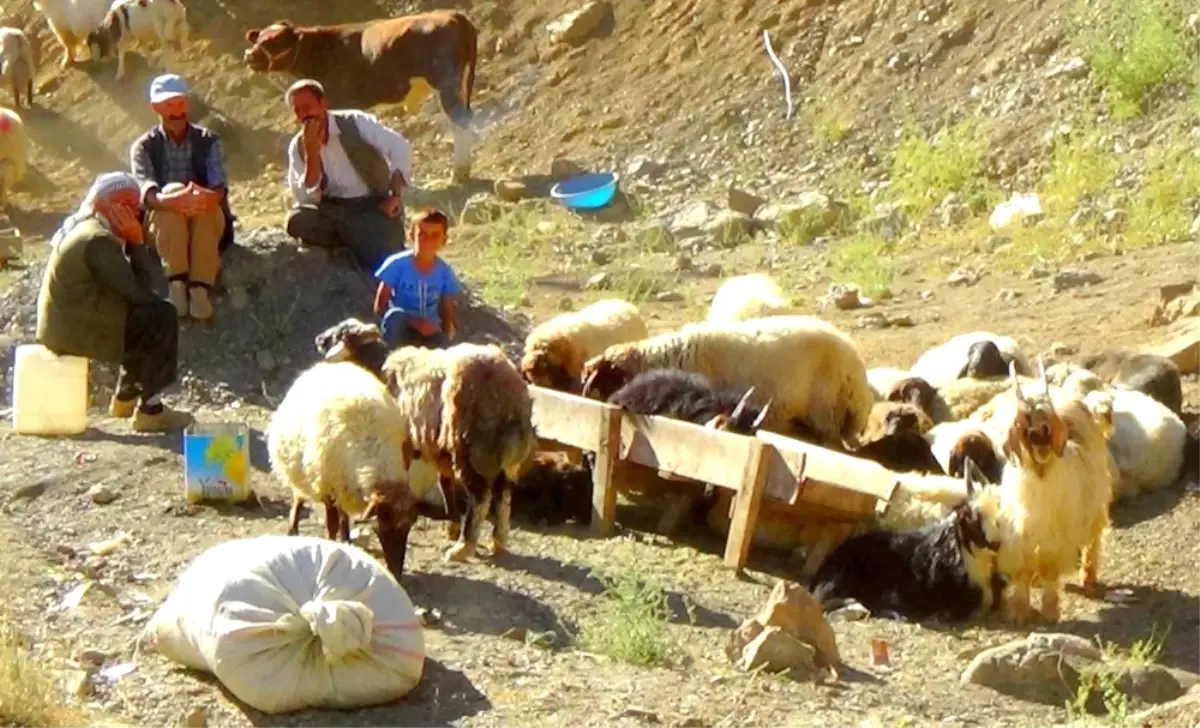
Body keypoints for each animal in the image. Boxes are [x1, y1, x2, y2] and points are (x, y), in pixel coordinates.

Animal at [241, 11, 480, 184]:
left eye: (274, 41)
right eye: (258, 39)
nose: (249, 56)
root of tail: (452, 14)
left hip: (447, 84)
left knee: (460, 124)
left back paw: (459, 175)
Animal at [267, 362, 422, 580]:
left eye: (409, 526)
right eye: (384, 525)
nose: (395, 573)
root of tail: (325, 365)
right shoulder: (326, 488)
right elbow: (330, 525)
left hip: (341, 484)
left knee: (342, 513)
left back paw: (347, 539)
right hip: (301, 471)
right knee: (299, 498)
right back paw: (293, 529)